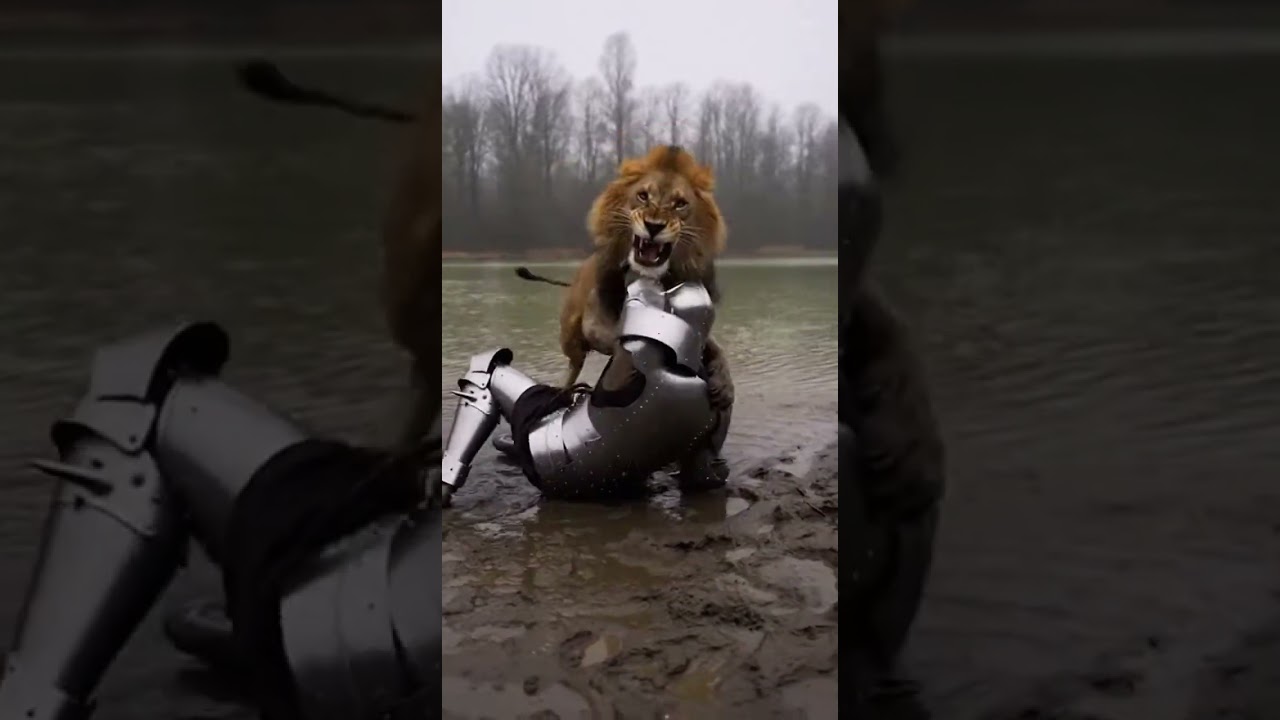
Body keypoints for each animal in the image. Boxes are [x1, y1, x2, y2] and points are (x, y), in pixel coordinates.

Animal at [517, 144, 733, 410]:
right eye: (643, 196)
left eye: (680, 204)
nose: (654, 226)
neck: (652, 279)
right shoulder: (595, 323)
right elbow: (622, 336)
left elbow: (713, 345)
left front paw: (725, 384)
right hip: (570, 335)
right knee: (573, 365)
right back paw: (564, 391)